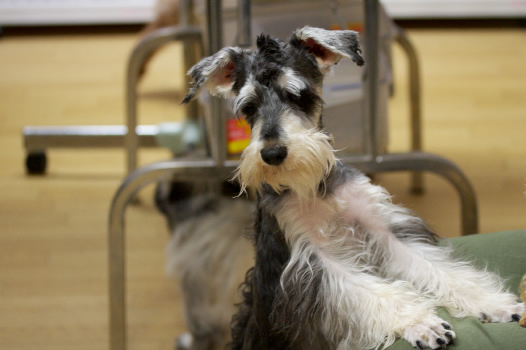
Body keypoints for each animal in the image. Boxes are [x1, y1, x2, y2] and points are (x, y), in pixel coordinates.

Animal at [183, 27, 526, 350]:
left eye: (297, 95)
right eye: (249, 108)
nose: (273, 154)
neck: (316, 187)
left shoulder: (385, 233)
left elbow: (440, 269)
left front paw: (495, 302)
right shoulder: (315, 264)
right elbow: (370, 291)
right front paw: (421, 323)